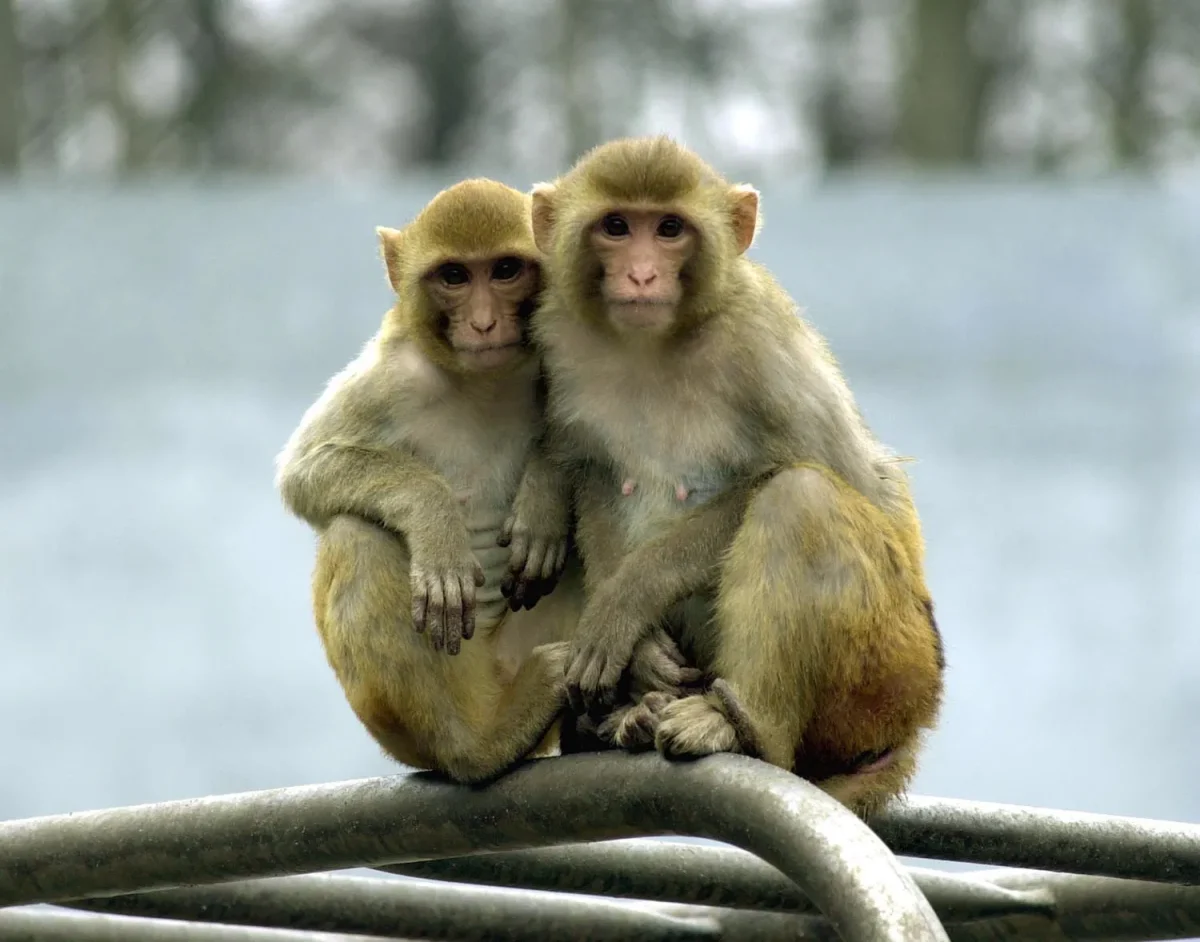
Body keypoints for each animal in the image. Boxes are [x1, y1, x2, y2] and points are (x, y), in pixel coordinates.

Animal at [529, 136, 945, 813]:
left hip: (890, 675)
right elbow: (594, 477)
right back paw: (630, 716)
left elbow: (851, 475)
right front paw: (636, 647)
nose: (641, 274)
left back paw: (739, 724)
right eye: (616, 227)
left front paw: (629, 597)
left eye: (669, 229)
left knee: (800, 497)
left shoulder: (762, 340)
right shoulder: (559, 340)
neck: (651, 348)